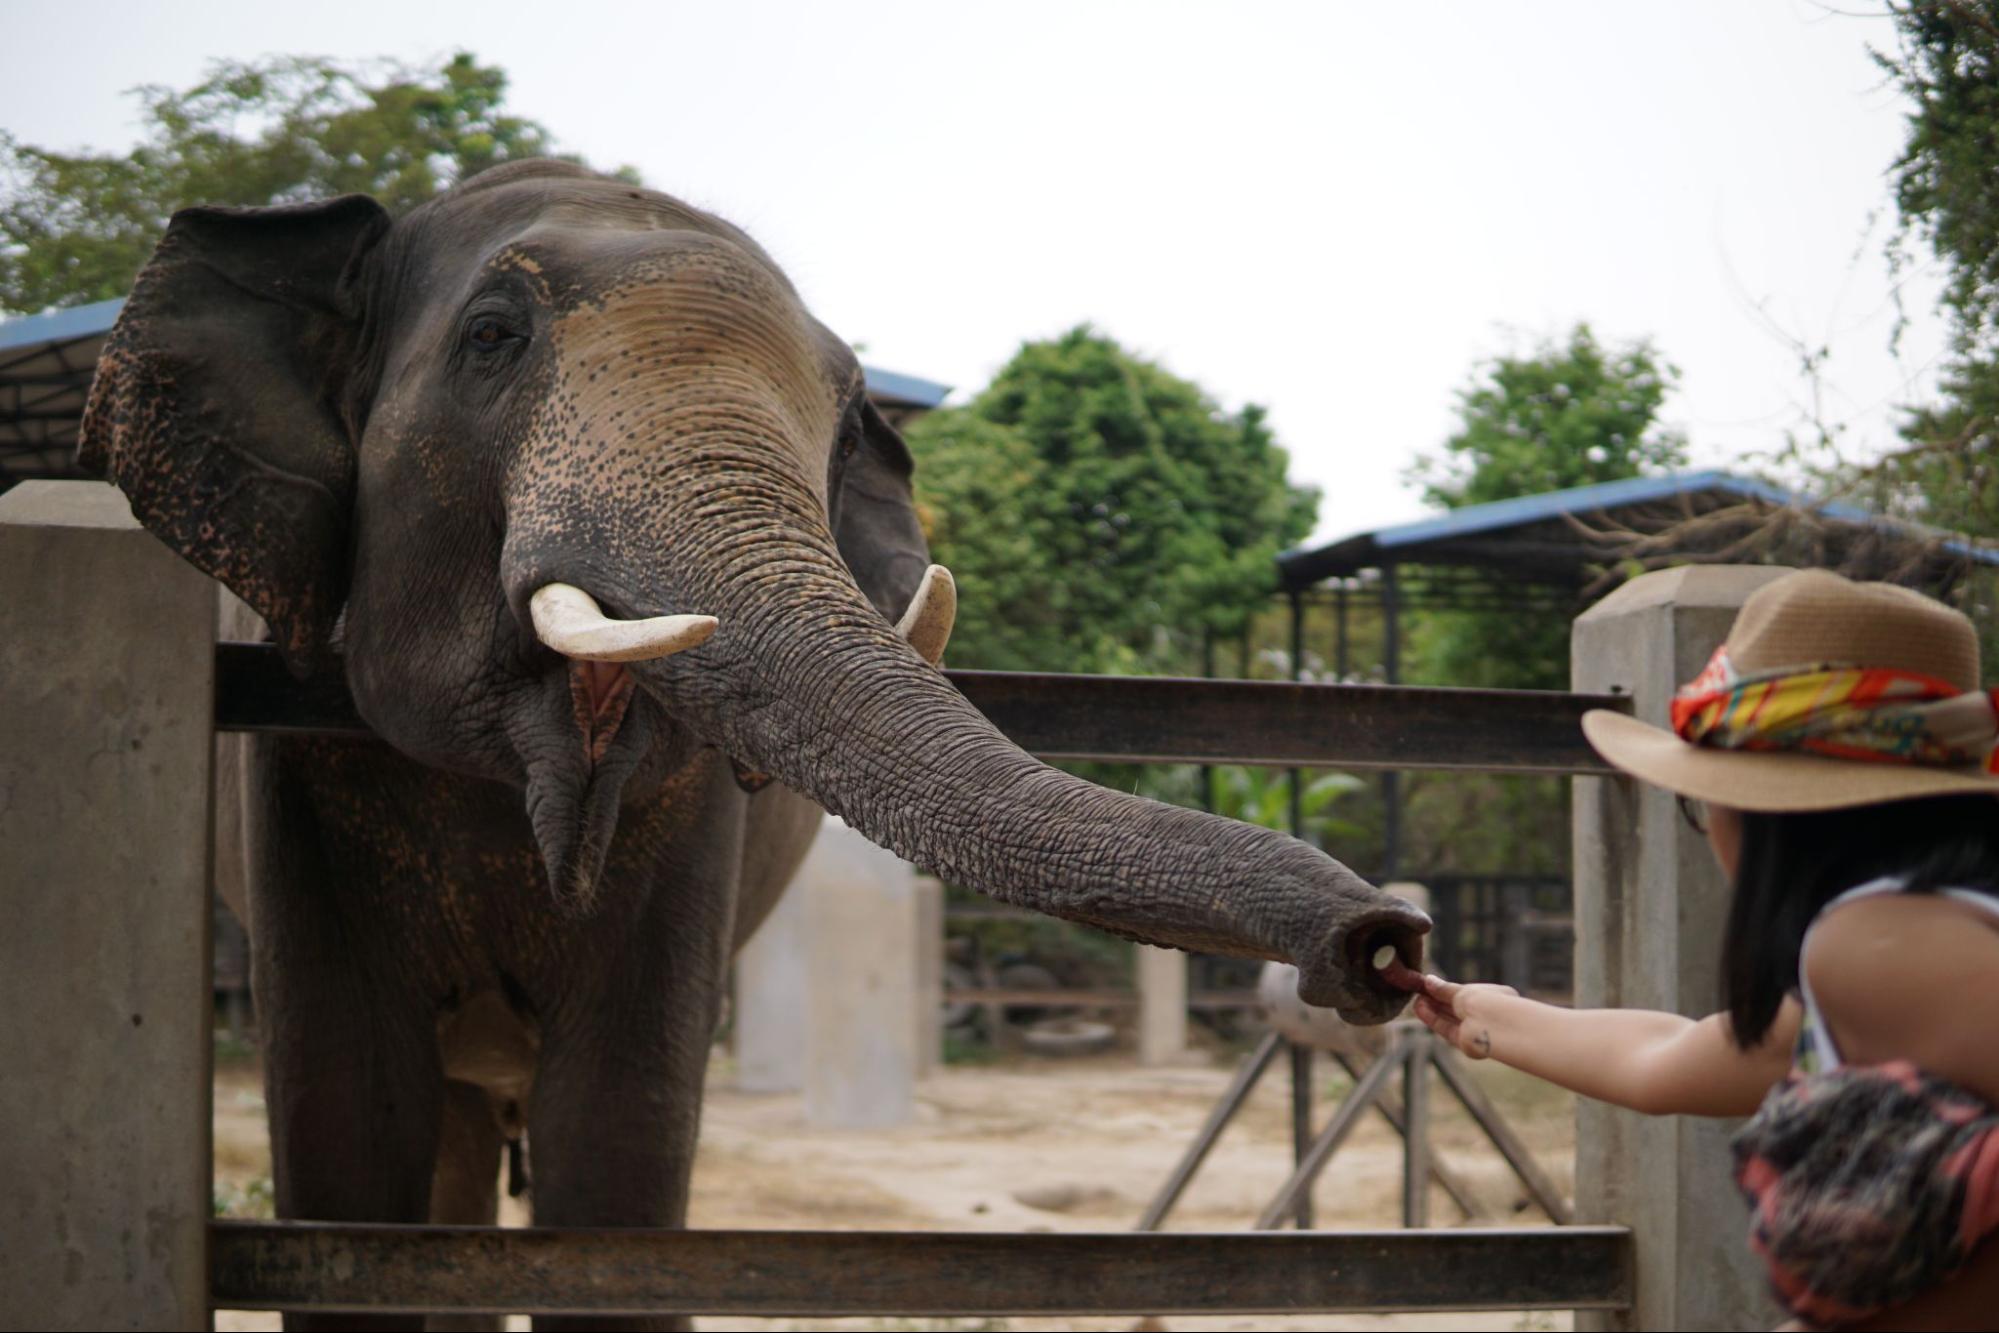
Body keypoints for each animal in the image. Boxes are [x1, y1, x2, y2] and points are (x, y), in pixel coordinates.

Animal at [78, 159, 1429, 1329]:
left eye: (846, 410)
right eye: (492, 337)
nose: (1386, 944)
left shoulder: (685, 826)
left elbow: (617, 1142)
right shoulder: (289, 765)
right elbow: (348, 1130)